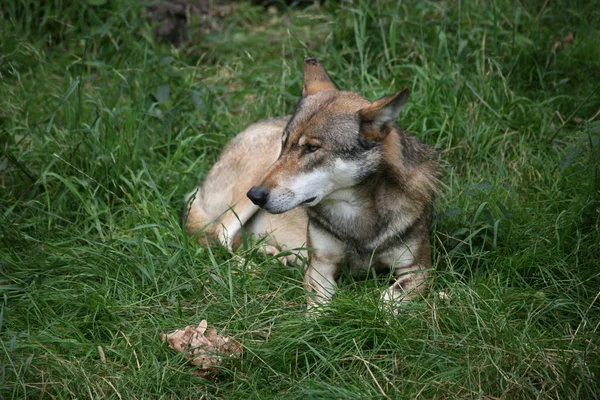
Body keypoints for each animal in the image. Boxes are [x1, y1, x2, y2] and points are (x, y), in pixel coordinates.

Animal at [183, 57, 436, 310]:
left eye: (311, 148)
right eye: (285, 144)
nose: (255, 195)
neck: (355, 216)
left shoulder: (419, 268)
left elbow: (388, 299)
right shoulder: (319, 266)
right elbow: (319, 306)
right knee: (219, 237)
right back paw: (255, 267)